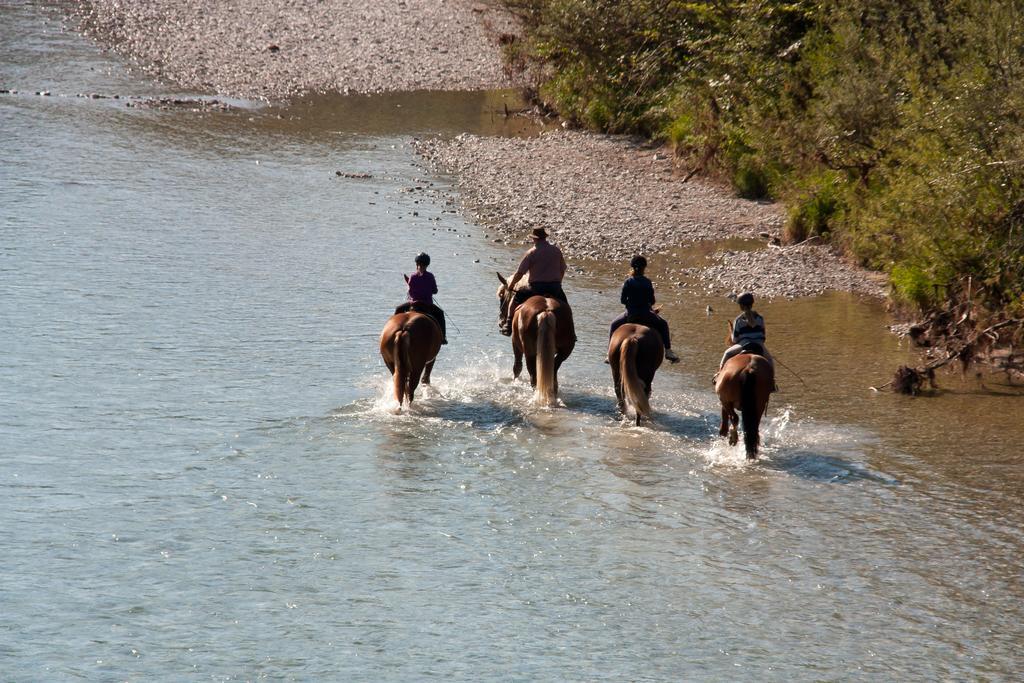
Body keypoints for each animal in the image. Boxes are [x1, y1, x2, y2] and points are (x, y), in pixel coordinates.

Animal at [497, 274, 577, 409]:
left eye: (502, 297)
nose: (501, 322)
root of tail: (546, 311)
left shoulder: (515, 344)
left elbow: (517, 367)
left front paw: (515, 382)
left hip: (529, 351)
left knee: (533, 375)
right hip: (565, 350)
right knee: (554, 370)